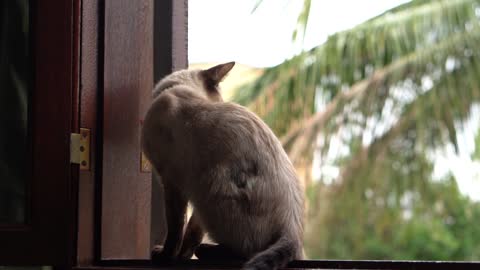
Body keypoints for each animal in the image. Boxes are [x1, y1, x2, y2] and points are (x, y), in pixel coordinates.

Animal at [141, 61, 304, 270]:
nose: (220, 102)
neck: (176, 88)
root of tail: (292, 228)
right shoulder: (188, 198)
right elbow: (191, 231)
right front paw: (183, 256)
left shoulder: (171, 183)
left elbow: (175, 228)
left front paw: (166, 256)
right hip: (205, 197)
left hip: (212, 187)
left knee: (247, 253)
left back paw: (207, 251)